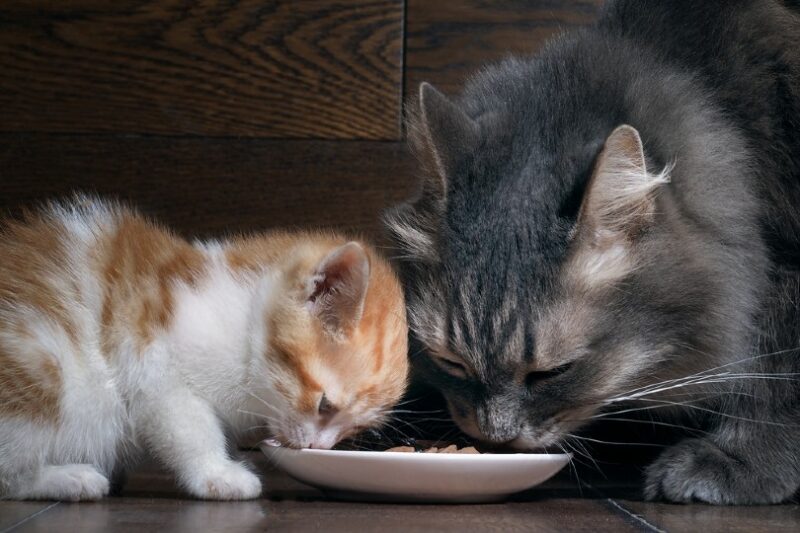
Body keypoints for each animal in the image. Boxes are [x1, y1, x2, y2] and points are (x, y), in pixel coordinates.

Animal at [0, 197, 410, 500]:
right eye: (325, 405)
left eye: (354, 428)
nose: (317, 446)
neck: (243, 326)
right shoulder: (156, 369)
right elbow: (190, 429)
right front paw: (218, 474)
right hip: (39, 367)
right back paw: (69, 479)